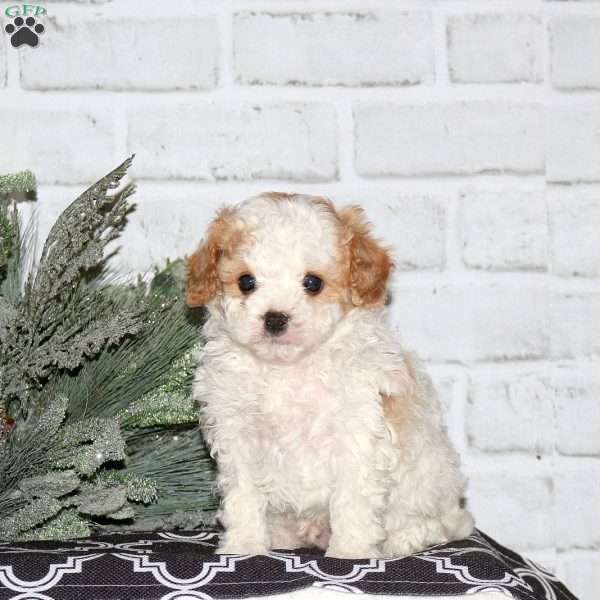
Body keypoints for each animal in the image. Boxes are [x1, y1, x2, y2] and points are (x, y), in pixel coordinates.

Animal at [188, 195, 474, 560]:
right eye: (246, 282)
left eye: (313, 283)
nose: (275, 318)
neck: (288, 368)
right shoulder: (238, 434)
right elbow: (245, 495)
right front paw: (244, 546)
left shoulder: (357, 433)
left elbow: (352, 499)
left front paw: (350, 552)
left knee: (427, 524)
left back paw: (402, 540)